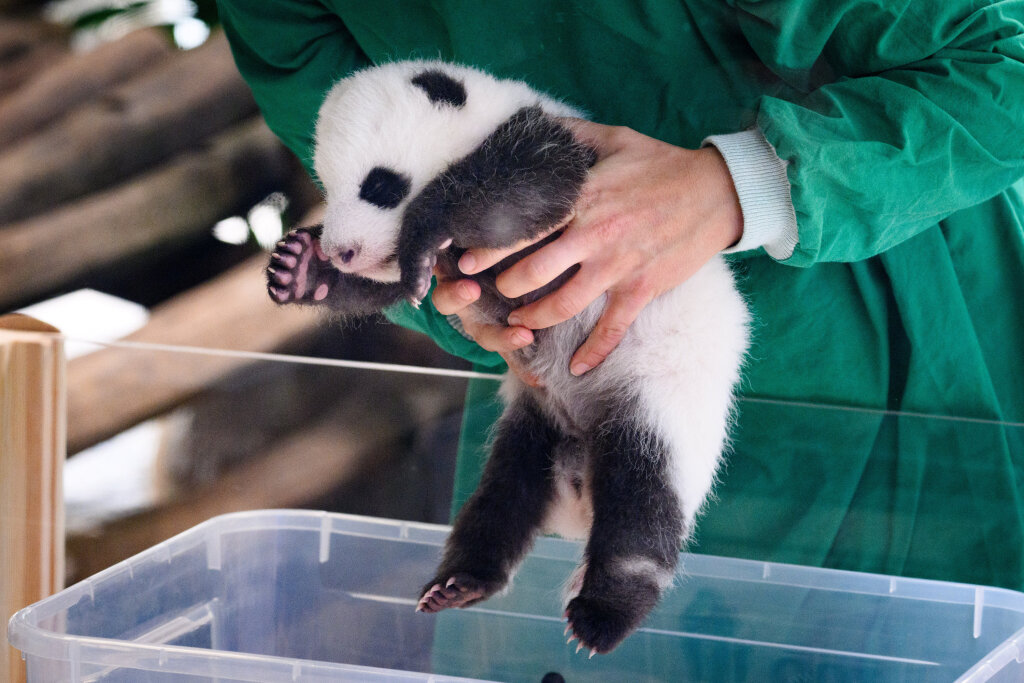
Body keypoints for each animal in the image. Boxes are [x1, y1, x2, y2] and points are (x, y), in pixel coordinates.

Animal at [268, 61, 749, 655]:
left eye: (379, 185)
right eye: (328, 188)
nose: (342, 251)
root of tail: (578, 487)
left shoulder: (568, 155)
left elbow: (520, 197)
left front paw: (419, 233)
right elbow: (388, 285)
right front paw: (302, 269)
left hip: (662, 399)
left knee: (642, 507)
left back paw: (602, 614)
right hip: (534, 421)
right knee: (503, 498)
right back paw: (460, 583)